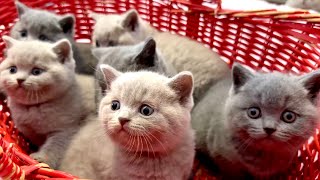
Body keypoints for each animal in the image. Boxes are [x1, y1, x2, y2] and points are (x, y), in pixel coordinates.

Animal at [0, 35, 90, 169]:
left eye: (36, 71)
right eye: (12, 69)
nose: (19, 80)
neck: (35, 107)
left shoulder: (65, 129)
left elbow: (55, 147)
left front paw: (42, 159)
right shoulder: (29, 131)